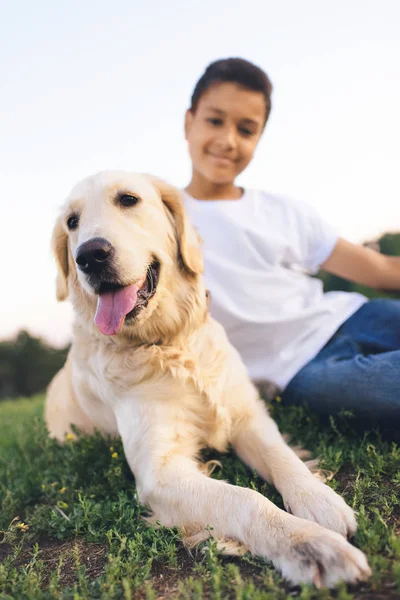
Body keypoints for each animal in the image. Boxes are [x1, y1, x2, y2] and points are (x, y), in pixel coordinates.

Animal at [46, 170, 372, 584]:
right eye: (72, 223)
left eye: (128, 199)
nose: (89, 255)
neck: (171, 343)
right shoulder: (159, 471)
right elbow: (244, 498)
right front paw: (312, 546)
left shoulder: (248, 416)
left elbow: (281, 455)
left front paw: (318, 499)